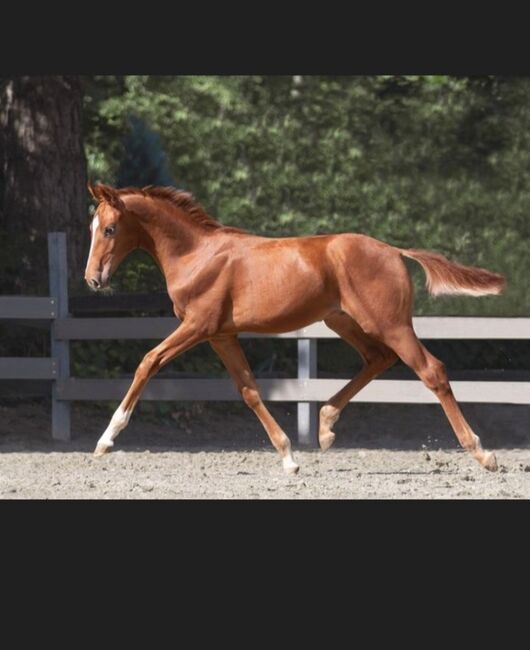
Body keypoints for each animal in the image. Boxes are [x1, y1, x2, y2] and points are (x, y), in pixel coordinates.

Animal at [84, 182, 502, 470]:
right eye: (92, 228)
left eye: (109, 229)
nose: (93, 280)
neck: (196, 255)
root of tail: (393, 250)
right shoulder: (221, 335)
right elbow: (249, 390)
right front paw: (288, 457)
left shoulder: (197, 326)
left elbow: (148, 361)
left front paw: (105, 440)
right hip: (343, 320)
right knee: (377, 359)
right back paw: (326, 426)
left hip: (391, 324)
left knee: (432, 370)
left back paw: (482, 453)